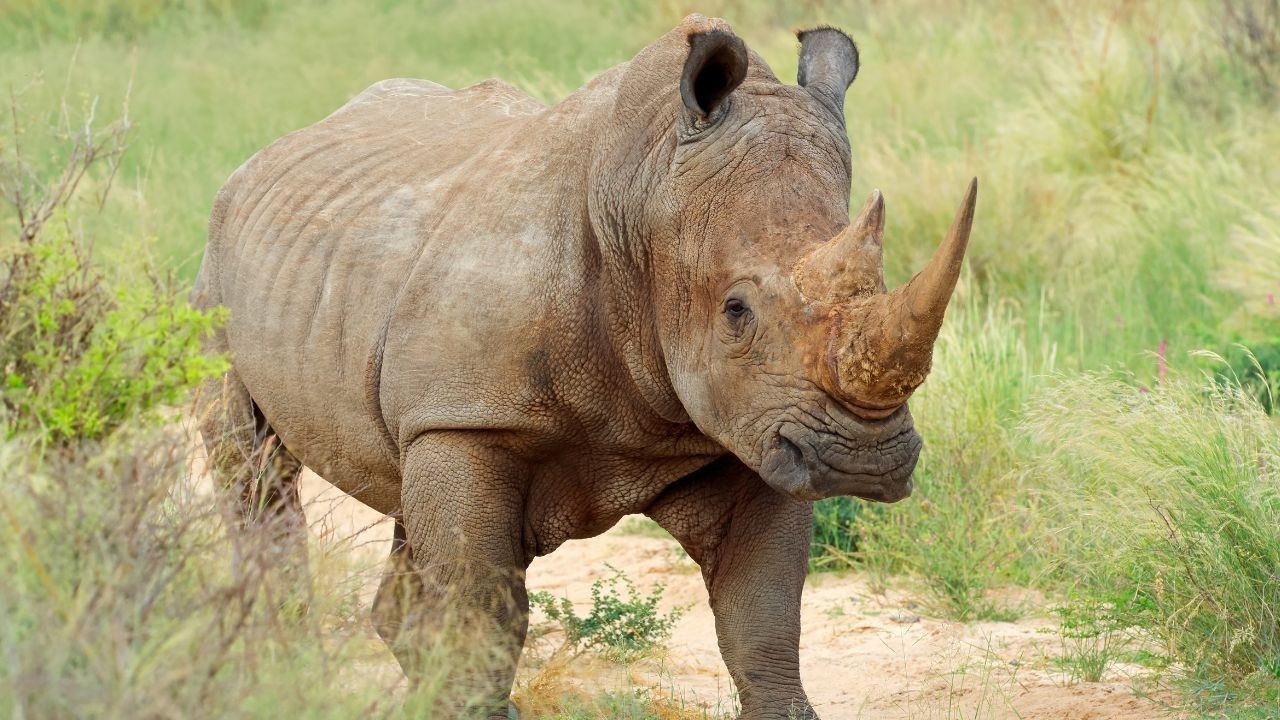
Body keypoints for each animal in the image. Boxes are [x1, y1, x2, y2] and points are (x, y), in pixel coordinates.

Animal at [194, 14, 976, 719]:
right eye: (736, 311)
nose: (863, 462)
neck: (645, 196)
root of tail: (274, 150)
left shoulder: (758, 427)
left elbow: (764, 621)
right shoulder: (466, 419)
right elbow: (482, 612)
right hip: (219, 259)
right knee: (253, 468)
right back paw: (283, 676)